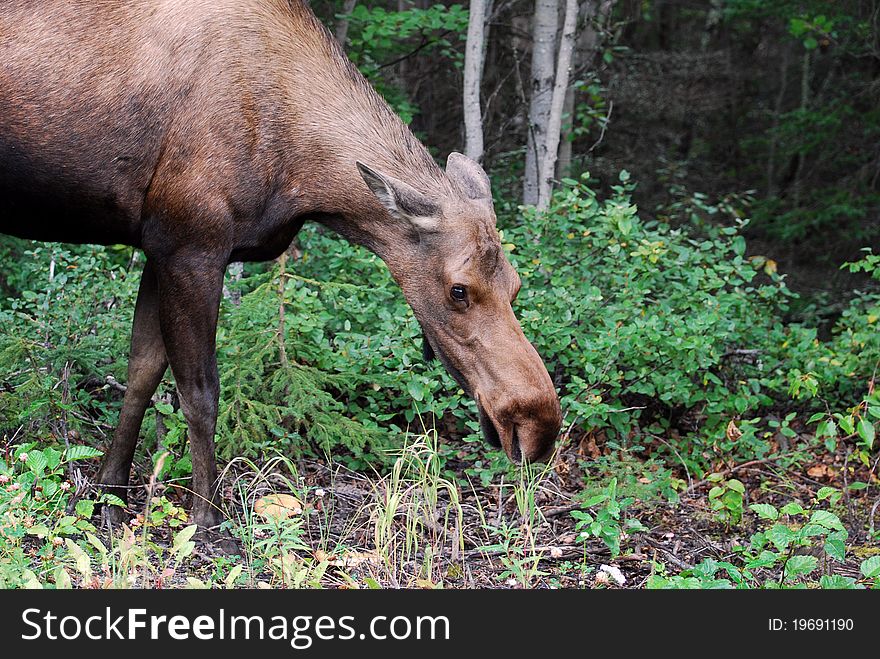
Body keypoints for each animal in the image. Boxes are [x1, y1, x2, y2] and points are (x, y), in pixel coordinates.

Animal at [0, 0, 560, 524]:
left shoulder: (159, 247)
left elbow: (140, 372)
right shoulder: (191, 247)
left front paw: (109, 497)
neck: (301, 178)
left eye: (514, 286)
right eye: (458, 289)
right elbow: (200, 392)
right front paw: (209, 519)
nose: (538, 426)